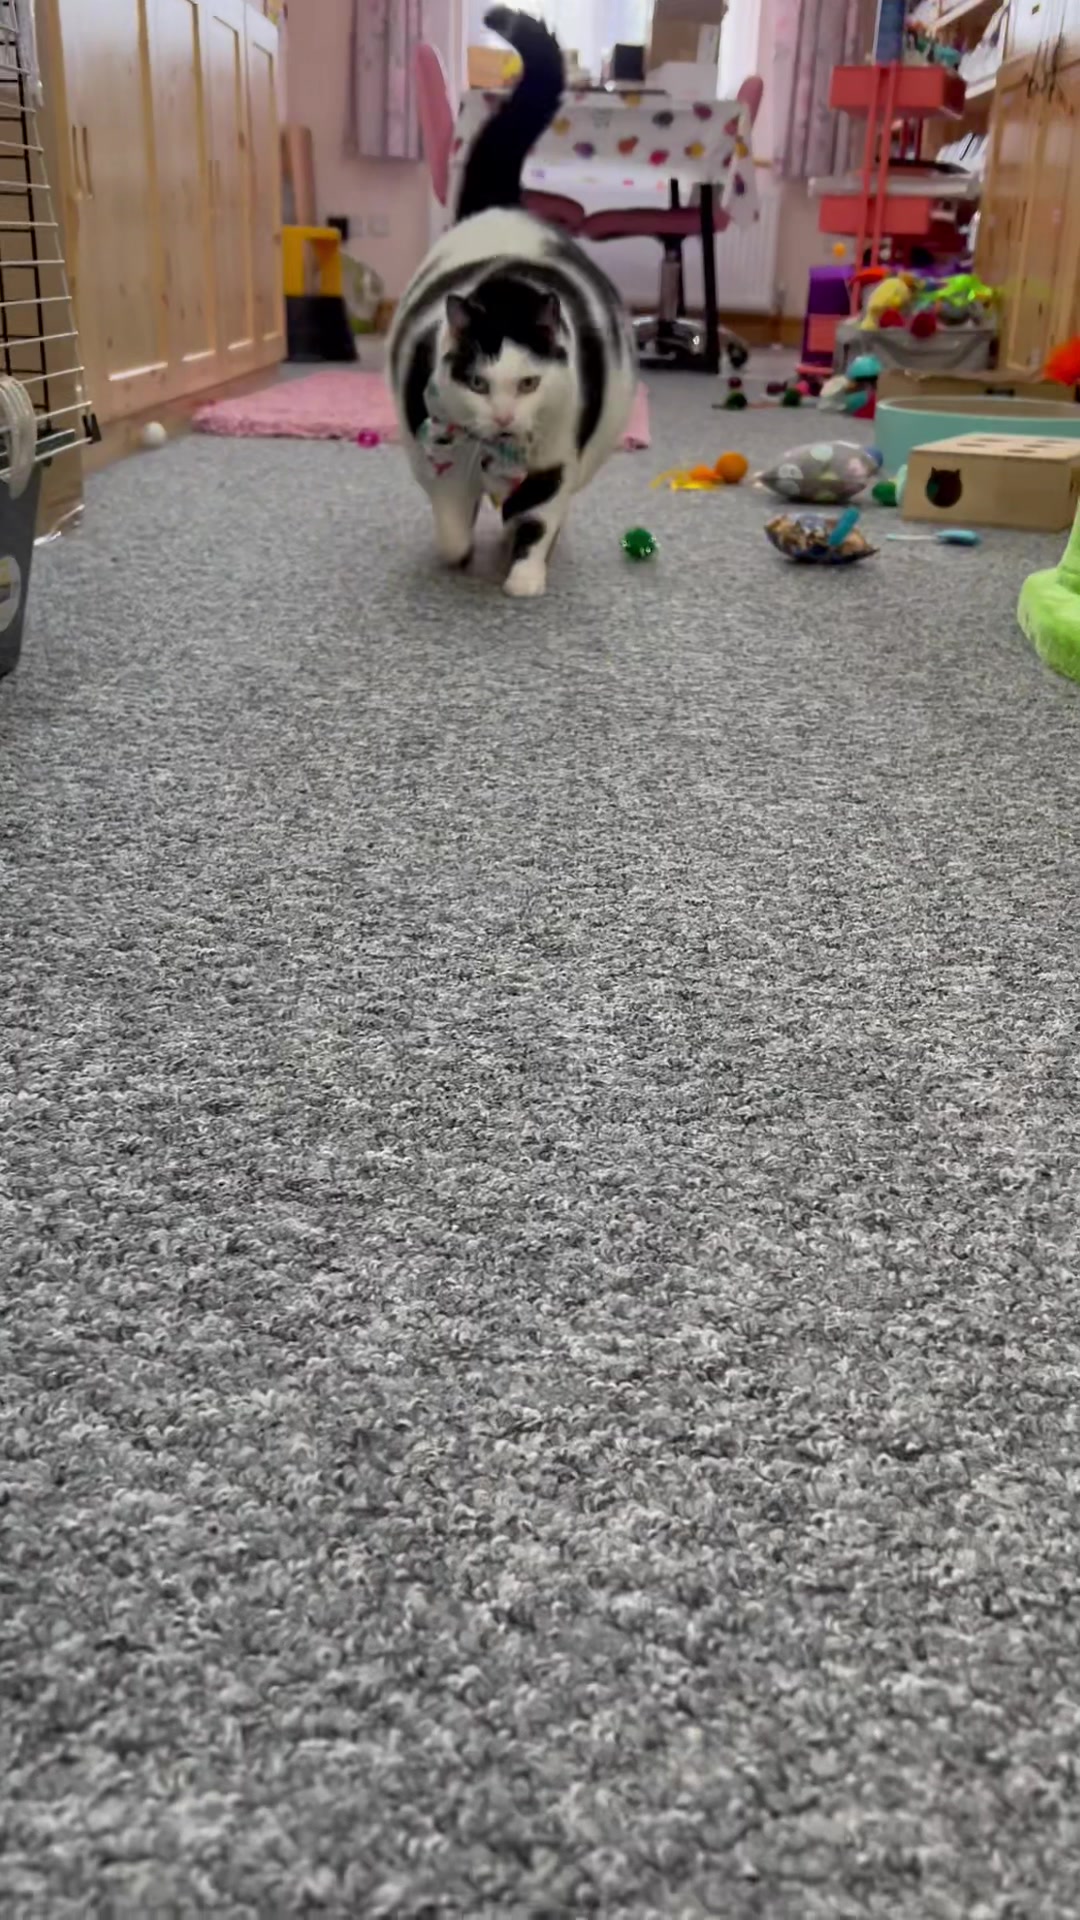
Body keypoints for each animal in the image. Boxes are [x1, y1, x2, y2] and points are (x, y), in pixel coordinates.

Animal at [388, 6, 637, 600]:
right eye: (478, 383)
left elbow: (537, 519)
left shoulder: (555, 460)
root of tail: (504, 207)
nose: (503, 416)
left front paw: (524, 573)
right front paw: (459, 553)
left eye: (528, 383)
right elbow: (452, 520)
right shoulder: (436, 456)